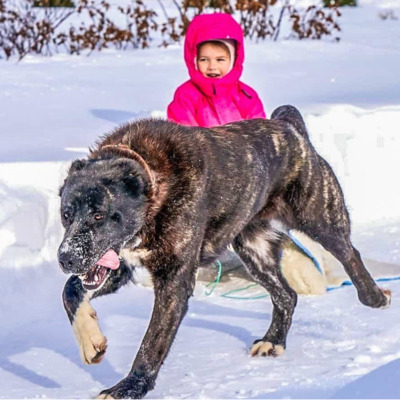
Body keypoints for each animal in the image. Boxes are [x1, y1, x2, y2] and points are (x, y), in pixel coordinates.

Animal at [57, 104, 390, 398]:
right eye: (66, 214)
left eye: (99, 215)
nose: (65, 258)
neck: (153, 185)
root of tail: (290, 128)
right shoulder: (120, 267)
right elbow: (70, 291)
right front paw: (90, 340)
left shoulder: (173, 281)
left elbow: (151, 343)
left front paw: (128, 388)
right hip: (253, 249)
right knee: (287, 295)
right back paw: (273, 341)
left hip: (319, 219)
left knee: (349, 254)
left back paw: (374, 296)